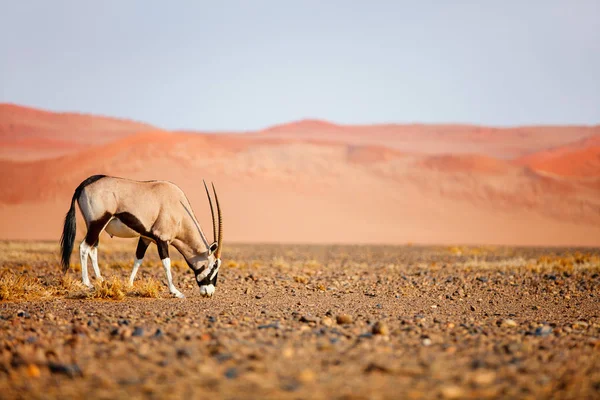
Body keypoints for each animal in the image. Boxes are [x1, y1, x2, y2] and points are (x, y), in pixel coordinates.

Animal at [59, 175, 224, 296]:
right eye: (214, 266)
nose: (209, 292)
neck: (179, 210)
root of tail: (83, 184)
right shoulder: (162, 239)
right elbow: (166, 263)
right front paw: (175, 292)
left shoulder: (145, 238)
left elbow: (138, 259)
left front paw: (129, 284)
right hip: (97, 223)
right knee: (83, 247)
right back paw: (87, 282)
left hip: (95, 227)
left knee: (93, 249)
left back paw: (100, 280)